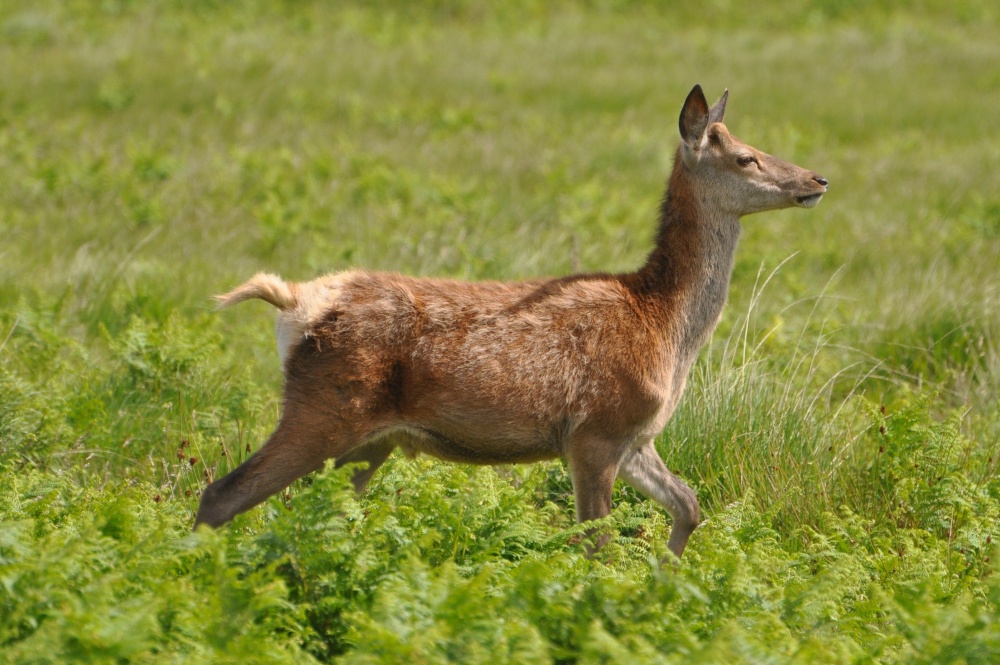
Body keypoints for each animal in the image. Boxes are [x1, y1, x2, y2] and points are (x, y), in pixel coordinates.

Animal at [195, 85, 828, 556]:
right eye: (745, 156)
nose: (818, 180)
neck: (665, 323)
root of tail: (295, 304)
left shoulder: (635, 437)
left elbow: (690, 507)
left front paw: (665, 577)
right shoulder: (596, 430)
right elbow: (596, 545)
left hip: (367, 441)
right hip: (324, 409)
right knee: (221, 494)